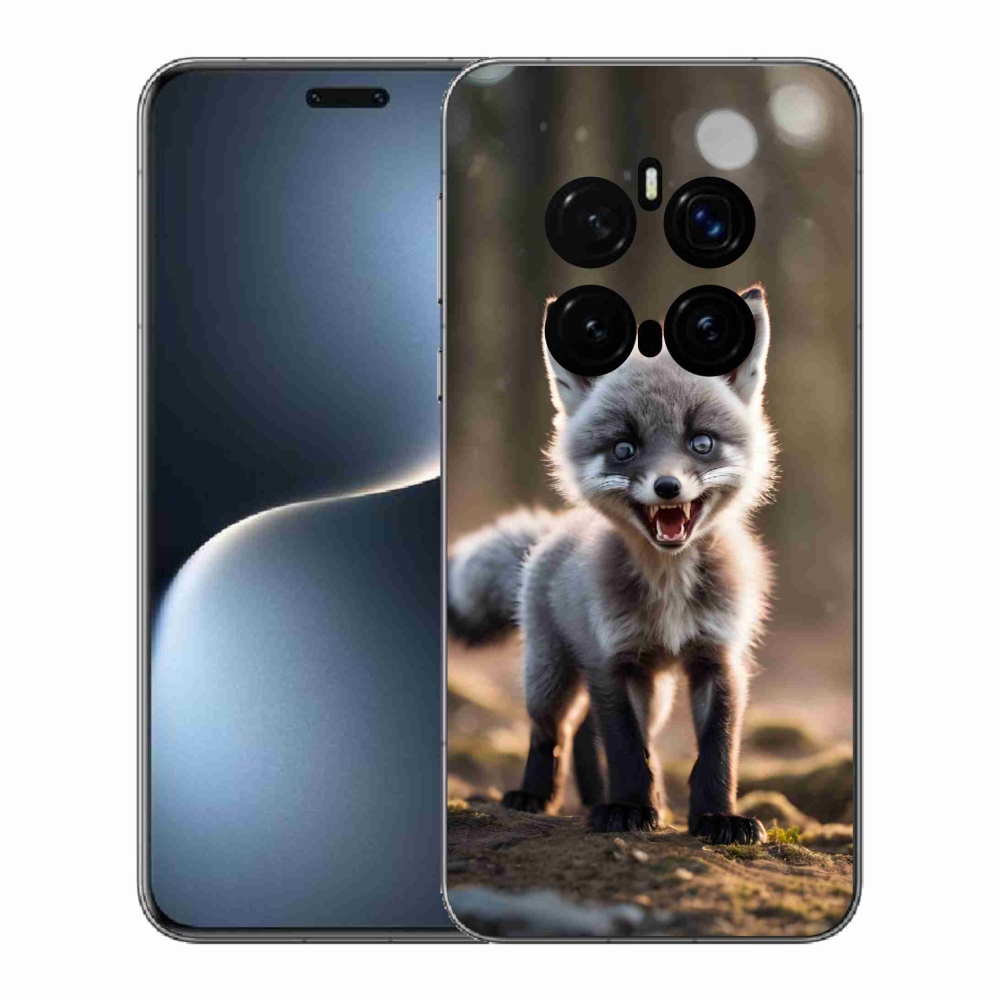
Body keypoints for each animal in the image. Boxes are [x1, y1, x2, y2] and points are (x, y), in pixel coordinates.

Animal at [448, 285, 777, 843]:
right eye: (624, 448)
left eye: (701, 442)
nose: (667, 487)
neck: (669, 591)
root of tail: (552, 533)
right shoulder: (613, 660)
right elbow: (625, 749)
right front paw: (627, 808)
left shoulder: (718, 658)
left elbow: (716, 753)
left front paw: (716, 818)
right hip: (551, 675)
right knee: (552, 731)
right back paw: (535, 795)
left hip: (654, 688)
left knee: (589, 732)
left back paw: (605, 796)